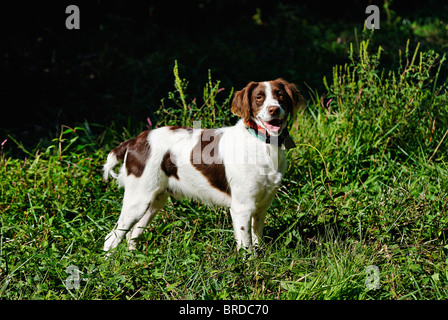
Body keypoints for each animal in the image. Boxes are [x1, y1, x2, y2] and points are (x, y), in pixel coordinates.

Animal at [103, 78, 302, 252]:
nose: (274, 109)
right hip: (138, 200)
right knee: (111, 238)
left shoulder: (261, 206)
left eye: (280, 95)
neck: (262, 144)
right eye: (259, 97)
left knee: (132, 235)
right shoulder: (242, 207)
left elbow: (257, 241)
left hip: (155, 200)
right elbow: (247, 248)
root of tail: (134, 141)